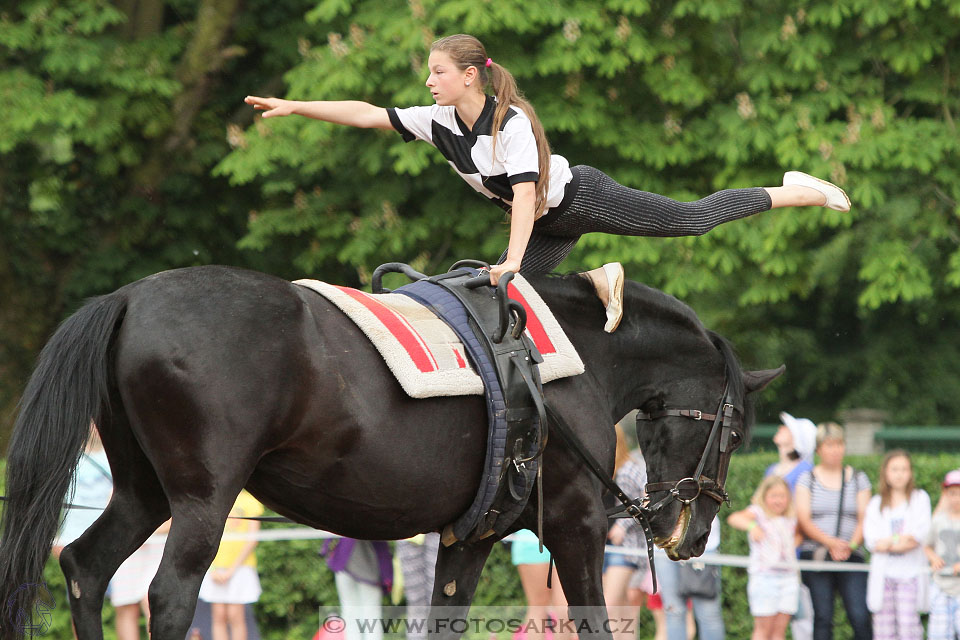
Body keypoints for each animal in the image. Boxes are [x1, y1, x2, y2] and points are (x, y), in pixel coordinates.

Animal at [0, 266, 780, 640]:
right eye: (736, 434)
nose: (691, 535)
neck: (573, 360)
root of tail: (130, 298)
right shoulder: (575, 525)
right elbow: (591, 623)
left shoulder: (471, 538)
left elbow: (444, 621)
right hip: (201, 502)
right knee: (168, 595)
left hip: (144, 494)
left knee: (85, 567)